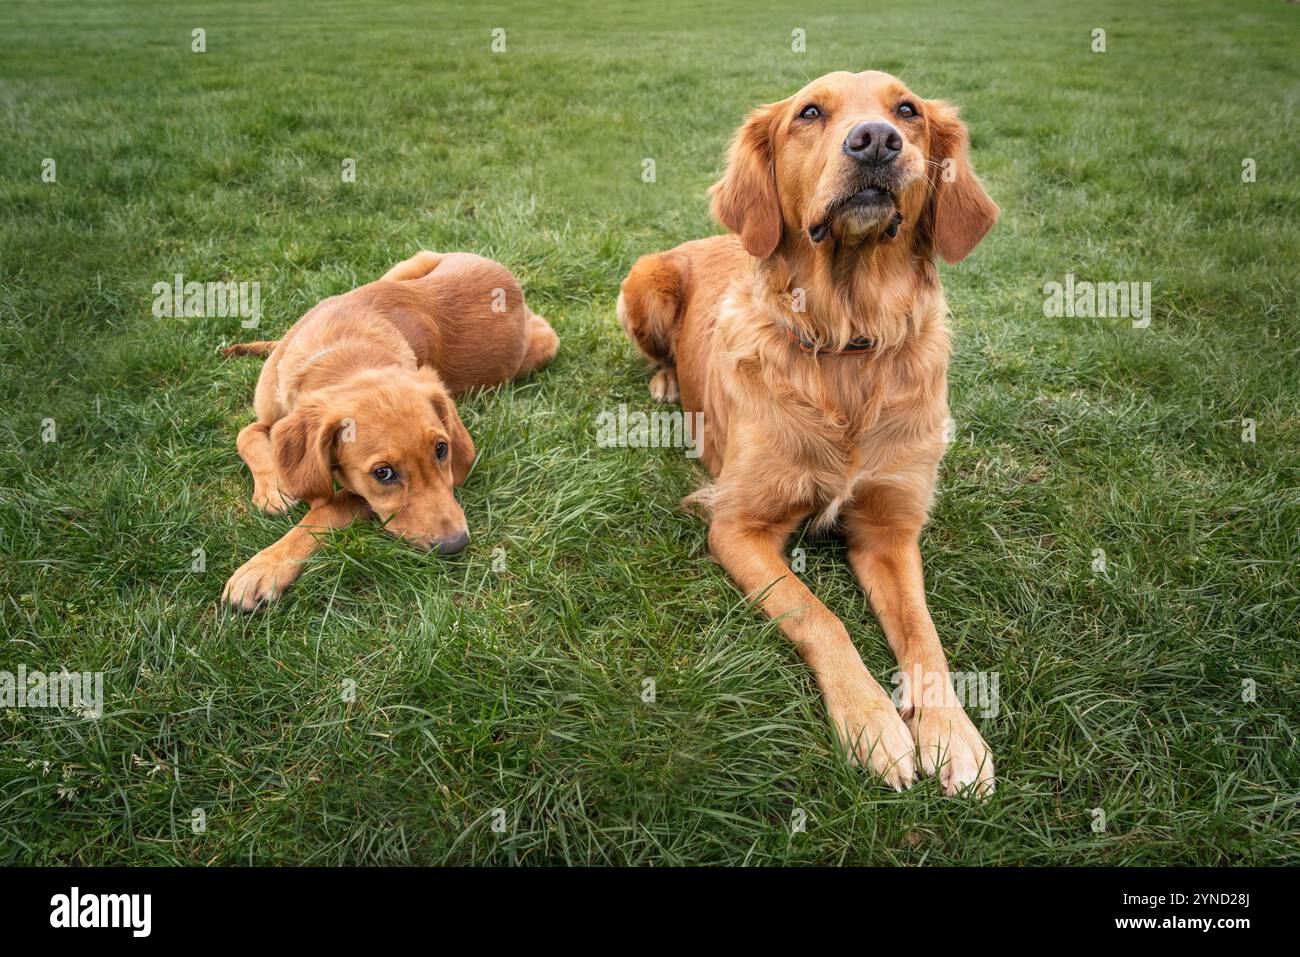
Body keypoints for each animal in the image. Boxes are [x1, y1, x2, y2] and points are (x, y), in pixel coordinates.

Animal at [223, 250, 559, 613]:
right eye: (383, 473)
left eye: (441, 449)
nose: (455, 545)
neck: (341, 349)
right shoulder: (275, 414)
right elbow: (246, 433)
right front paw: (274, 488)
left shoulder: (359, 497)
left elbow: (326, 509)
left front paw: (266, 565)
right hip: (404, 268)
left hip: (544, 345)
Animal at [616, 70, 993, 790]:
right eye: (810, 113)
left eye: (908, 110)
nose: (876, 140)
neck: (847, 341)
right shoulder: (736, 526)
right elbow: (820, 617)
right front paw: (872, 721)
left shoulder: (890, 530)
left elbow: (924, 635)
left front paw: (953, 732)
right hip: (642, 281)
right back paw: (667, 382)